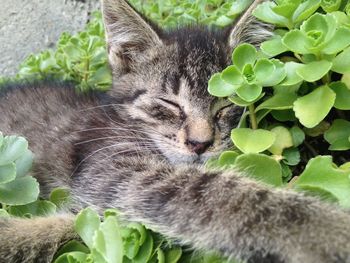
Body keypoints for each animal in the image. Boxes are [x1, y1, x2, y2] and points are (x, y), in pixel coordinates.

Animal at [0, 0, 350, 262]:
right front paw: (328, 231)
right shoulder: (115, 169)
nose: (200, 143)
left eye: (226, 105)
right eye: (169, 104)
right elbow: (224, 195)